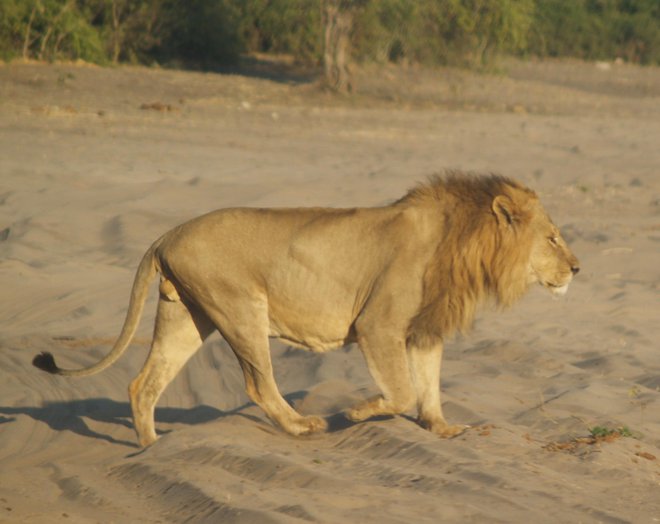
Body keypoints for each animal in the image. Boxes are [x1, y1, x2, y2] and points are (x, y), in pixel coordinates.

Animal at [32, 172, 576, 446]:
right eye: (552, 237)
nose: (577, 267)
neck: (464, 242)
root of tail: (166, 234)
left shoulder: (423, 329)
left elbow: (429, 386)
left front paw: (442, 429)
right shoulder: (378, 324)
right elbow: (401, 391)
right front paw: (355, 412)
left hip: (186, 315)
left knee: (143, 383)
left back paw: (153, 449)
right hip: (241, 308)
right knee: (258, 383)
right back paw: (303, 426)